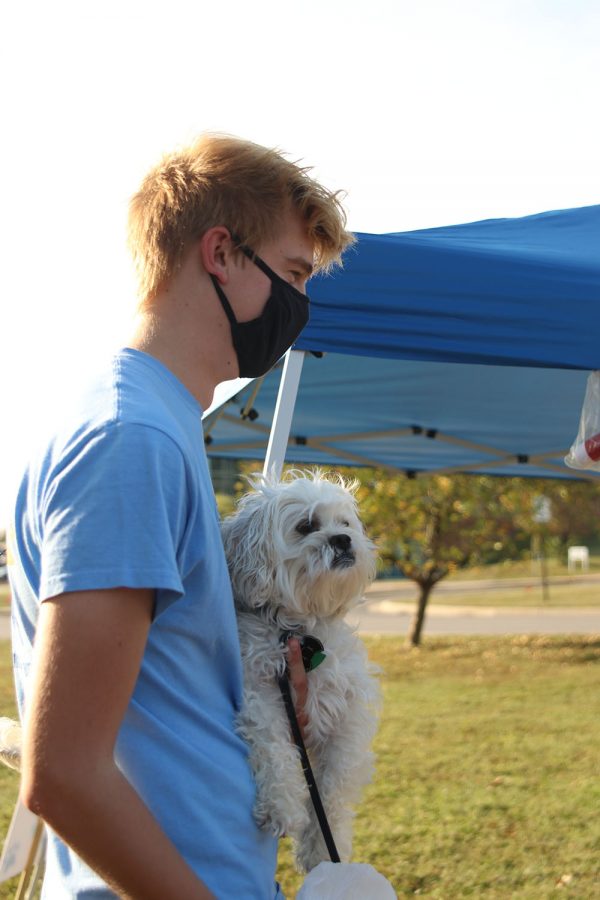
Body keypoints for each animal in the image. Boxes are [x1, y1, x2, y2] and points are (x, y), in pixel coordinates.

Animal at [220, 472, 380, 872]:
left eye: (345, 524)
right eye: (306, 526)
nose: (343, 540)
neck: (298, 630)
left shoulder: (348, 714)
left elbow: (334, 787)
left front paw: (324, 847)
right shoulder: (260, 692)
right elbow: (275, 749)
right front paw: (282, 807)